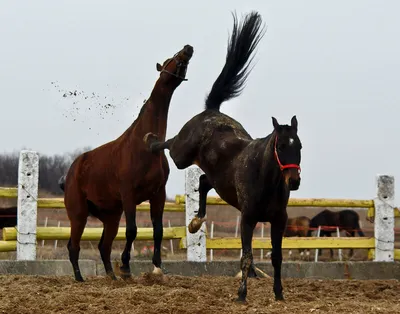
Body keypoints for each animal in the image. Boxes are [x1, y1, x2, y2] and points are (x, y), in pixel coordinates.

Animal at [59, 44, 194, 282]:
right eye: (168, 60)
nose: (187, 49)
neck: (146, 146)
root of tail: (71, 172)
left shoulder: (158, 194)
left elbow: (158, 230)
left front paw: (157, 265)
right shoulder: (129, 193)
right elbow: (132, 230)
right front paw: (126, 266)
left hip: (111, 217)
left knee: (104, 246)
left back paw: (112, 278)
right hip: (78, 214)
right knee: (73, 246)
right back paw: (80, 278)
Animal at [142, 11, 302, 302]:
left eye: (300, 147)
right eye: (281, 146)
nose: (294, 181)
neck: (264, 179)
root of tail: (212, 111)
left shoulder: (278, 221)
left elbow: (277, 258)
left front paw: (279, 293)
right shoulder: (248, 219)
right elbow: (247, 257)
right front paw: (241, 294)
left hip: (215, 177)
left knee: (204, 182)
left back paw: (195, 222)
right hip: (182, 155)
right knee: (170, 144)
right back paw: (149, 140)